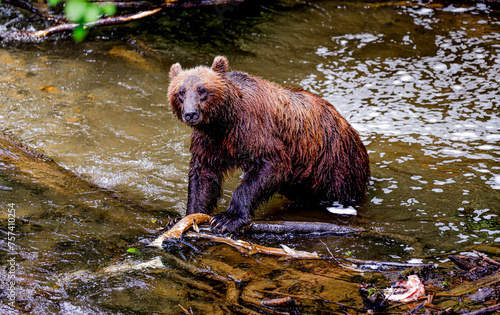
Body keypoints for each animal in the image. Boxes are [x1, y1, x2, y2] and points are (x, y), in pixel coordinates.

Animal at [167, 56, 368, 235]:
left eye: (202, 90)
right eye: (180, 92)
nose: (191, 113)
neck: (223, 122)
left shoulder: (253, 129)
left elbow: (270, 165)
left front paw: (227, 219)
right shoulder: (210, 141)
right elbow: (204, 176)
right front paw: (186, 216)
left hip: (335, 168)